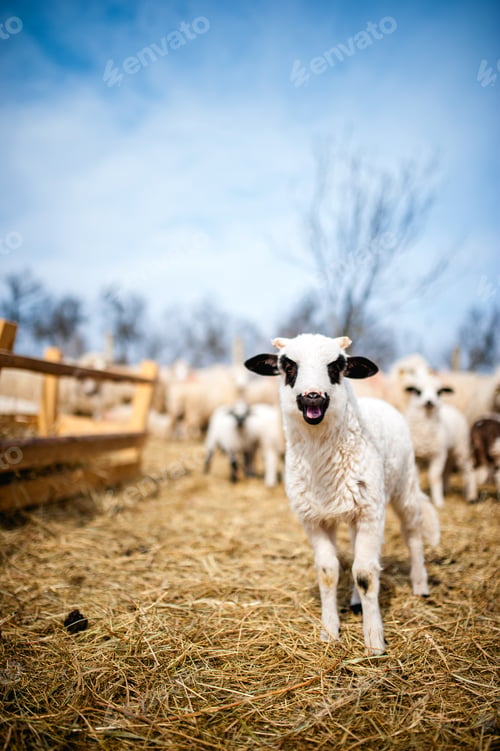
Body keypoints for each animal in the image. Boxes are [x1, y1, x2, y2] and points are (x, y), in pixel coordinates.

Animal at [245, 333, 439, 655]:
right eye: (288, 365)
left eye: (337, 365)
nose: (312, 396)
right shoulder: (313, 519)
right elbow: (328, 572)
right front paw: (329, 631)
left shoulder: (371, 513)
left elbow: (365, 575)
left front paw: (374, 641)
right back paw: (356, 603)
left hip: (404, 485)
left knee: (412, 534)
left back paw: (420, 584)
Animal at [405, 373, 478, 506]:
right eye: (418, 391)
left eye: (439, 392)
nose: (429, 402)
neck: (424, 431)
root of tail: (450, 407)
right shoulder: (416, 456)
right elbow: (416, 477)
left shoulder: (437, 454)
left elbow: (434, 477)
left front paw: (438, 502)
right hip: (448, 451)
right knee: (447, 469)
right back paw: (446, 489)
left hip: (461, 447)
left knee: (468, 470)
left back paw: (471, 496)